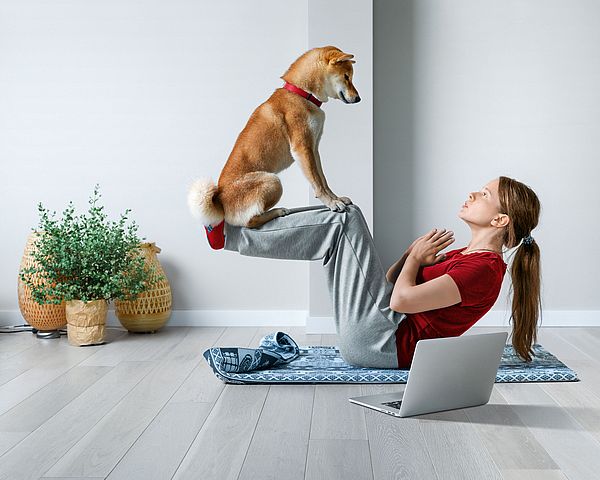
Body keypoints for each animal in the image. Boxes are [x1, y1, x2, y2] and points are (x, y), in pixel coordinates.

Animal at [188, 46, 360, 230]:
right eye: (346, 77)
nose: (358, 99)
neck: (302, 94)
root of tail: (219, 201)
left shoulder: (313, 149)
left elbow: (323, 180)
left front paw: (336, 198)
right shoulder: (302, 149)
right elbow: (317, 184)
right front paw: (331, 203)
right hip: (272, 181)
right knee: (250, 222)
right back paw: (278, 211)